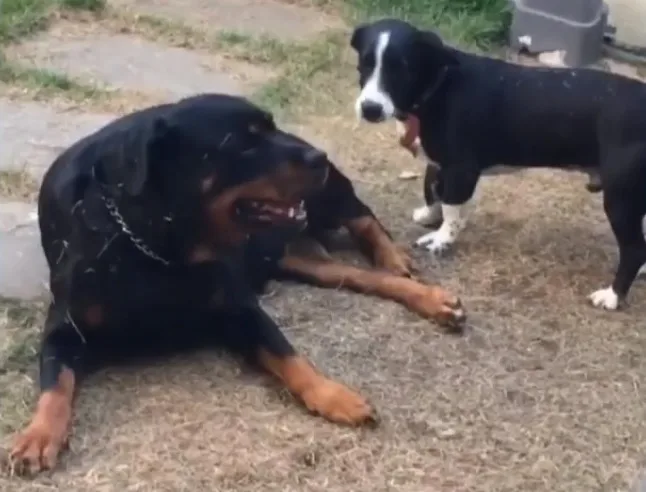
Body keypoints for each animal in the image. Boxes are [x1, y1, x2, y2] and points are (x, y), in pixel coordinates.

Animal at [7, 94, 468, 474]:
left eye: (270, 127)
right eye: (243, 143)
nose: (319, 156)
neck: (157, 247)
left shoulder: (239, 309)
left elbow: (289, 356)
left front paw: (334, 396)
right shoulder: (65, 330)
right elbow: (55, 384)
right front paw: (38, 435)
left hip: (323, 203)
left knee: (364, 222)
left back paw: (411, 275)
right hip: (297, 257)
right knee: (356, 274)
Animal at [352, 20, 646, 312]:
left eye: (402, 69)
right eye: (365, 63)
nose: (370, 109)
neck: (440, 83)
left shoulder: (462, 170)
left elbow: (451, 208)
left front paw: (442, 238)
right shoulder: (440, 162)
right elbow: (433, 187)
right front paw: (430, 215)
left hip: (620, 198)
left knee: (633, 249)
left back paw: (612, 295)